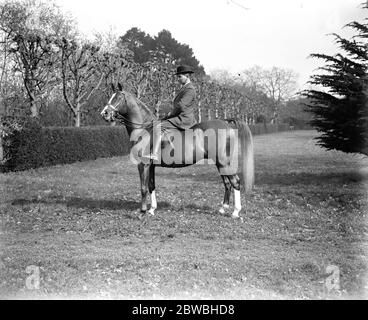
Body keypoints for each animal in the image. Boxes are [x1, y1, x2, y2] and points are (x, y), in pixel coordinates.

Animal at [100, 83, 254, 220]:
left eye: (118, 98)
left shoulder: (143, 165)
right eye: (111, 97)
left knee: (235, 182)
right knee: (227, 183)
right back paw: (223, 208)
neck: (144, 129)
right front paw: (151, 210)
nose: (104, 114)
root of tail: (225, 122)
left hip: (223, 162)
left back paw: (235, 212)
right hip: (220, 163)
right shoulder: (151, 166)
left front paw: (142, 212)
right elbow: (151, 186)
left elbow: (143, 187)